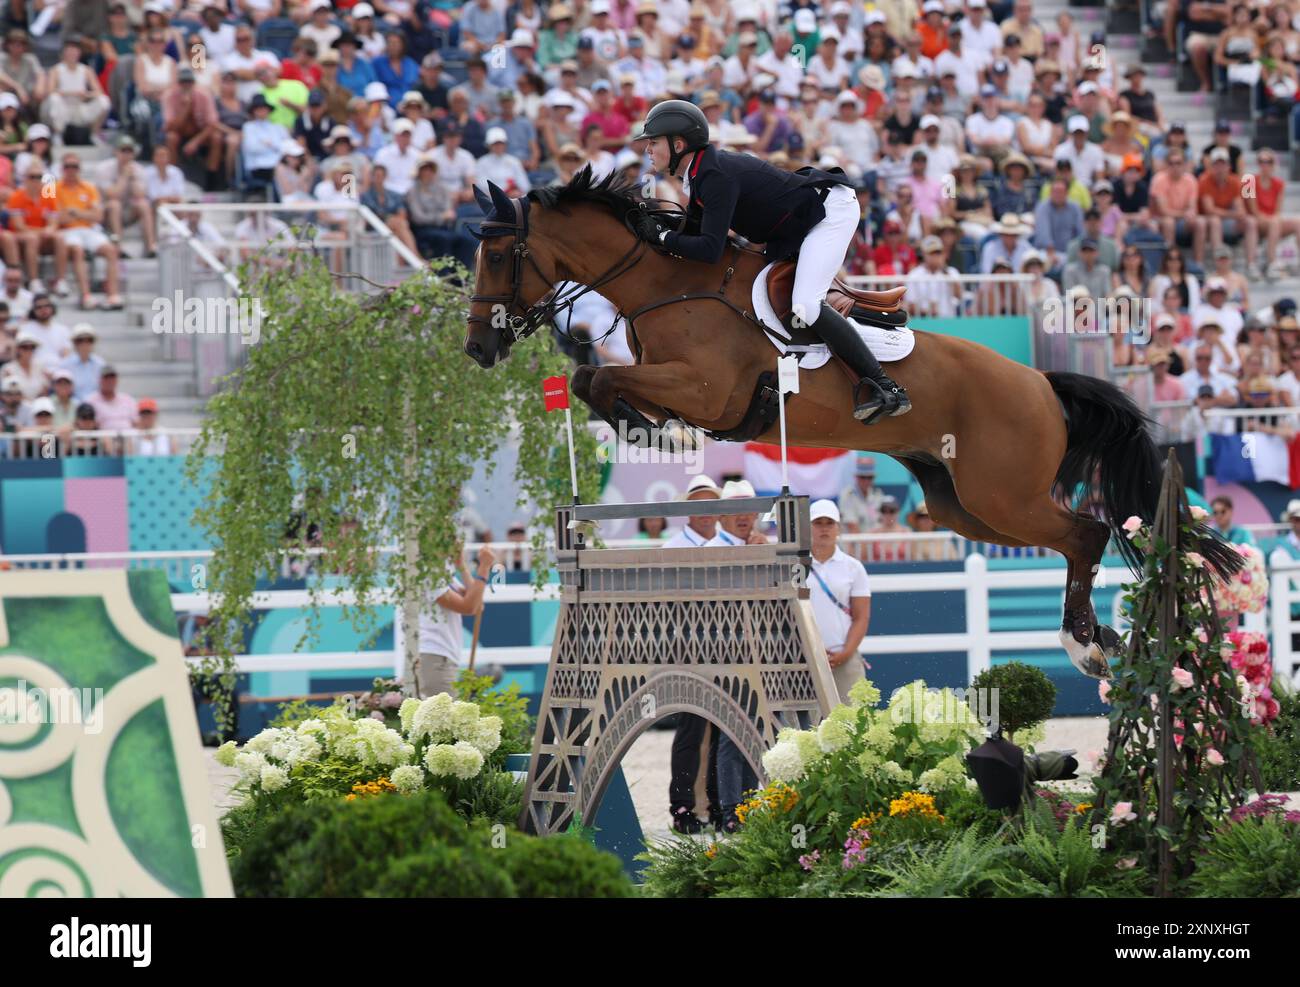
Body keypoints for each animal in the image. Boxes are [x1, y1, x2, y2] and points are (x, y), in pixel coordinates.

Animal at [462, 170, 1232, 681]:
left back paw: (1083, 641)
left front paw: (650, 429)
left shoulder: (706, 391)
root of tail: (1041, 380)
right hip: (964, 505)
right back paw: (1099, 639)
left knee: (1086, 534)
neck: (665, 285)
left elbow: (605, 381)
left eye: (498, 255)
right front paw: (644, 427)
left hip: (1002, 493)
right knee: (1069, 537)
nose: (477, 349)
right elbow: (593, 380)